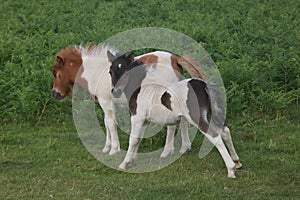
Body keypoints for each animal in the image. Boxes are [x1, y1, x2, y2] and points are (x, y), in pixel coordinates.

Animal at [51, 43, 206, 156]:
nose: (55, 94)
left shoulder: (106, 102)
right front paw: (106, 148)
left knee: (172, 125)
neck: (97, 72)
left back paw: (167, 151)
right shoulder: (107, 103)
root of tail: (175, 60)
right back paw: (184, 148)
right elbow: (106, 123)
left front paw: (114, 150)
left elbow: (111, 123)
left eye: (55, 73)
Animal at [109, 52, 243, 178]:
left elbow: (132, 140)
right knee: (225, 131)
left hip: (197, 118)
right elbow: (138, 139)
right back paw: (237, 162)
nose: (115, 92)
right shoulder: (144, 121)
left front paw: (124, 164)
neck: (140, 89)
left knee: (215, 136)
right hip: (211, 115)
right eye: (111, 72)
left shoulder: (137, 118)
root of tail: (203, 85)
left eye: (126, 71)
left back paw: (231, 169)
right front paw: (131, 162)